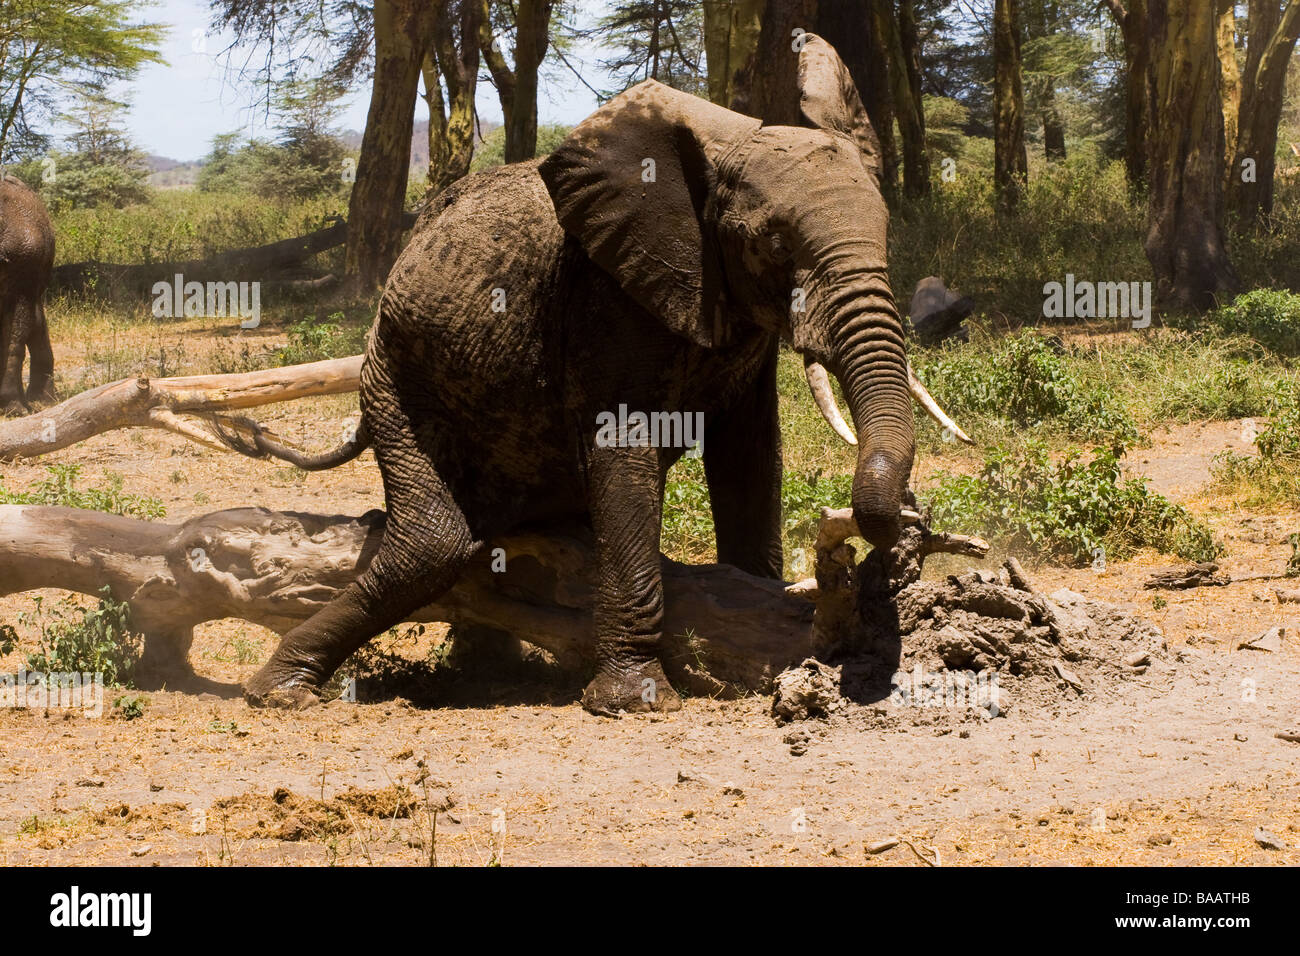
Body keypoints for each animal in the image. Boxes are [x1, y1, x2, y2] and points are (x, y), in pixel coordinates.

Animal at [226, 36, 965, 715]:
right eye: (774, 244)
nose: (906, 522)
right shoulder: (601, 295)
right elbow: (624, 449)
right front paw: (636, 699)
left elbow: (749, 456)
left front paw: (761, 612)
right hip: (393, 377)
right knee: (434, 545)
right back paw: (282, 689)